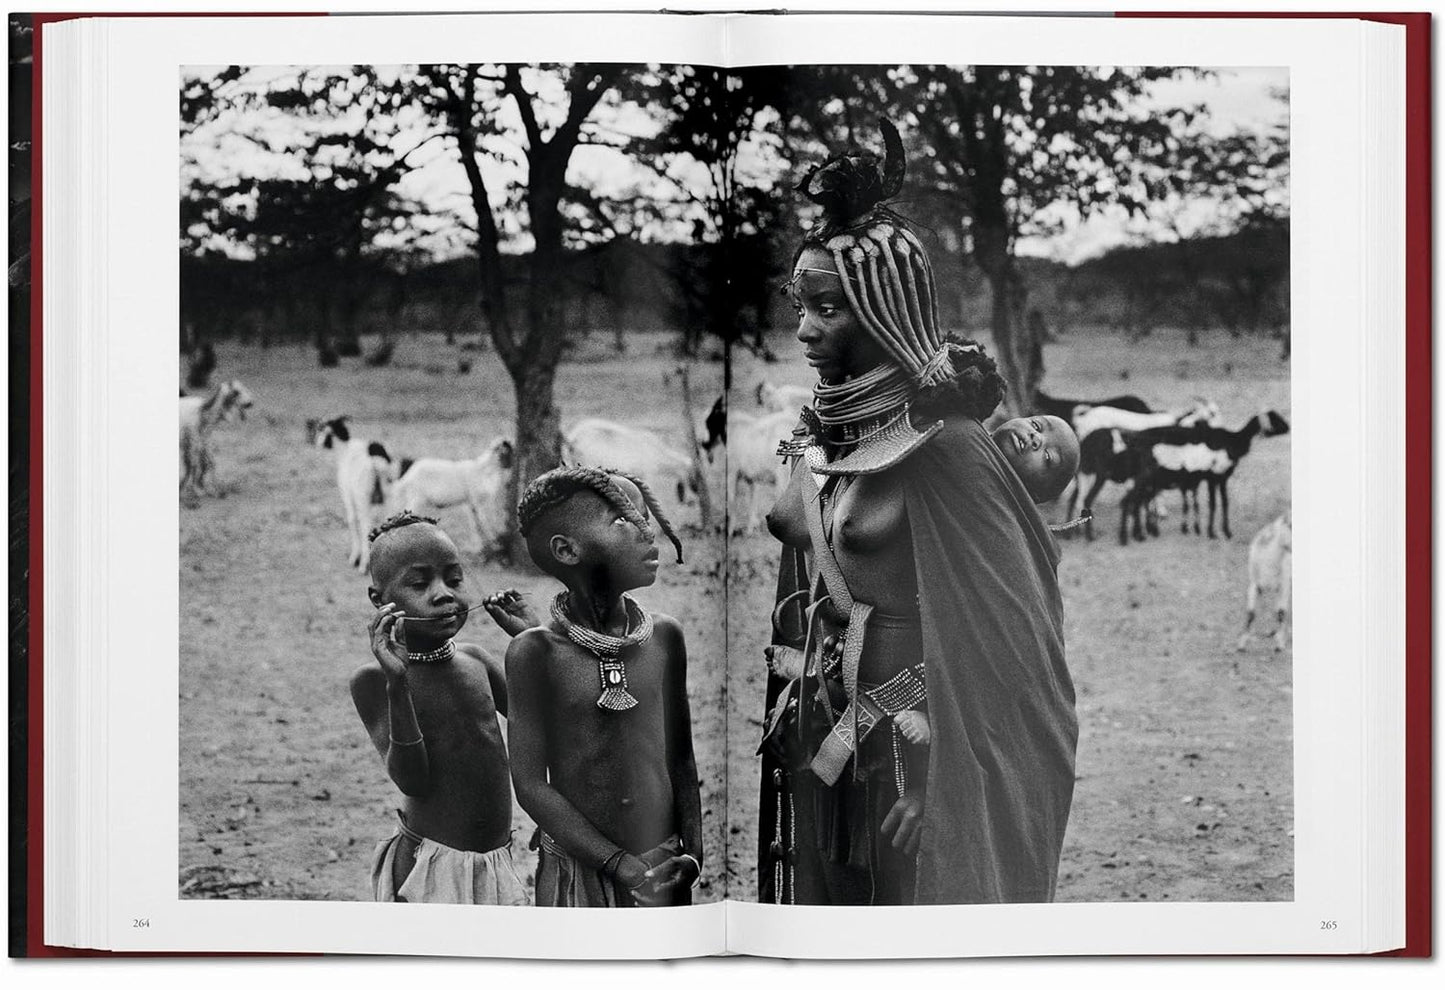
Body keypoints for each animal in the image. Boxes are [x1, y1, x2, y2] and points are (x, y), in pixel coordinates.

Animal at [1115, 410, 1300, 549]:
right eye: (1275, 418)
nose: (1288, 427)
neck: (1233, 439)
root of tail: (1133, 440)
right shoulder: (1213, 476)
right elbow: (1213, 504)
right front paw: (1212, 532)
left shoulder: (1222, 478)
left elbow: (1224, 502)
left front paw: (1226, 532)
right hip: (1145, 477)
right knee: (1129, 501)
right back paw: (1125, 538)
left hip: (1146, 479)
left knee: (1136, 502)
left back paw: (1140, 534)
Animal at [1236, 508, 1294, 656]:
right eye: (1290, 525)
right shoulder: (1254, 585)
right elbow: (1251, 613)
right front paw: (1241, 645)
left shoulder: (1284, 586)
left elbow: (1281, 613)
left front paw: (1279, 645)